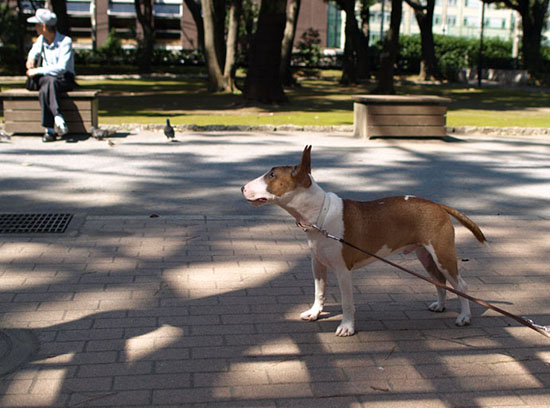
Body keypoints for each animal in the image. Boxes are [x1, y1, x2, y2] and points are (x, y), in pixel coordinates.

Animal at [242, 145, 488, 336]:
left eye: (272, 175)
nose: (242, 187)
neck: (320, 213)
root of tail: (438, 204)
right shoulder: (318, 265)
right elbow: (319, 292)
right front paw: (314, 313)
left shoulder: (343, 270)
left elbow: (347, 302)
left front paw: (347, 327)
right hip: (426, 256)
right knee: (440, 281)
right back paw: (440, 306)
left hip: (442, 254)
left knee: (461, 285)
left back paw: (464, 317)